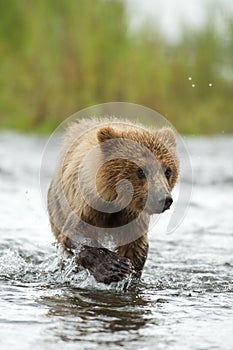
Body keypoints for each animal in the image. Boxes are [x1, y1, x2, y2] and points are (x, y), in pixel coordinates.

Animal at [46, 117, 178, 284]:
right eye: (141, 170)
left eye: (168, 171)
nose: (164, 199)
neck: (115, 201)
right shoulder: (86, 204)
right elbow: (75, 234)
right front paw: (114, 267)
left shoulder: (132, 217)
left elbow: (136, 246)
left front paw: (129, 273)